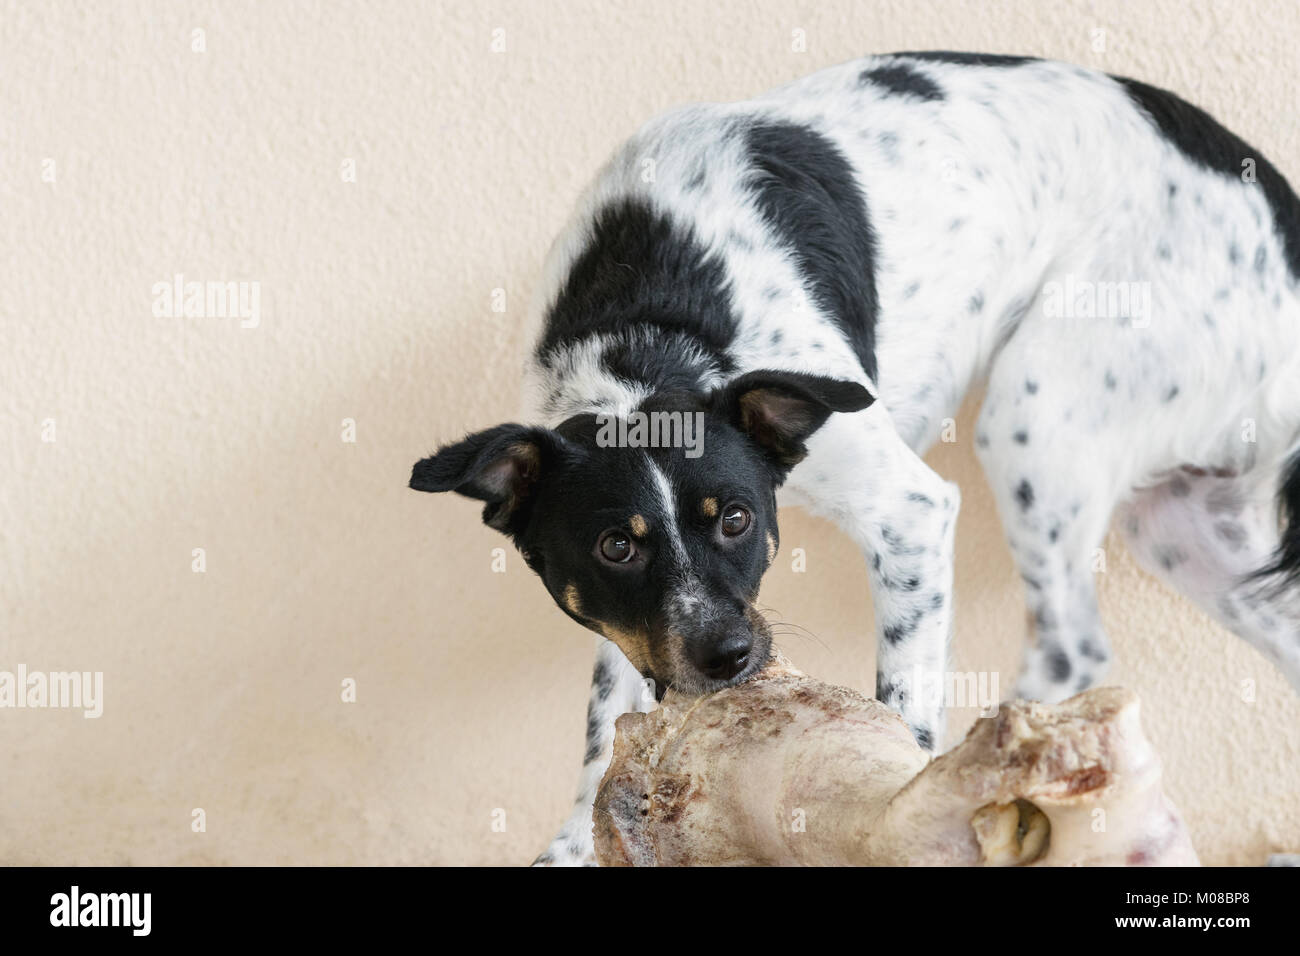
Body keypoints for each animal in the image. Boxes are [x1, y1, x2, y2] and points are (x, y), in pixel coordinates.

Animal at [408, 52, 1300, 863]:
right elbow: (604, 721)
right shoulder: (627, 623)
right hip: (1187, 529)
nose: (727, 657)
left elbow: (899, 713)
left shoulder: (910, 513)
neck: (649, 332)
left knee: (1070, 647)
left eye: (736, 519)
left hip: (1039, 413)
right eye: (614, 547)